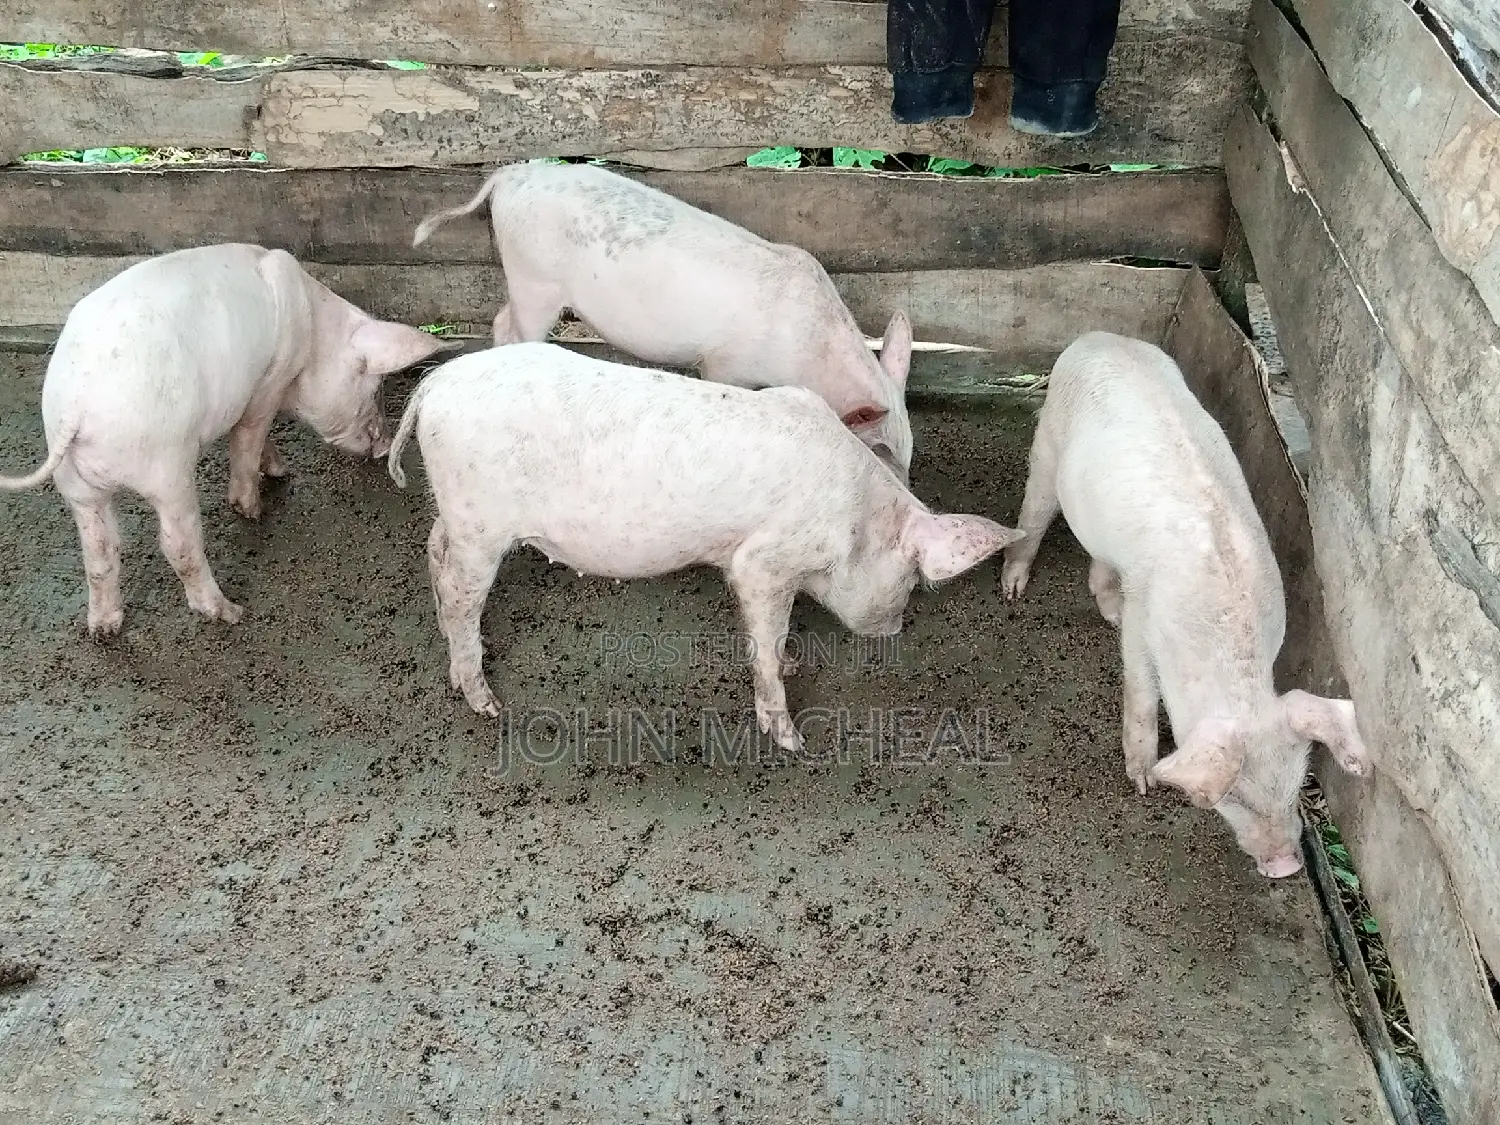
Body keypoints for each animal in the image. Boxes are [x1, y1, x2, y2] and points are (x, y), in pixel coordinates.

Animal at [0, 244, 446, 635]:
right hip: (166, 468)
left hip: (76, 483)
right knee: (177, 543)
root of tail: (76, 406)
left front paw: (278, 471)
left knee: (99, 550)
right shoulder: (270, 378)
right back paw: (230, 612)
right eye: (374, 390)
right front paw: (259, 503)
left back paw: (103, 630)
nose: (385, 447)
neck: (315, 337)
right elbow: (250, 435)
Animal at [387, 342, 1019, 750]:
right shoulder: (764, 560)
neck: (857, 519)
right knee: (459, 590)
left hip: (458, 512)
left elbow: (772, 635)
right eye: (912, 580)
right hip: (481, 522)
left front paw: (793, 659)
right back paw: (486, 702)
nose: (895, 629)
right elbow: (766, 634)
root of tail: (433, 385)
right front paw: (792, 741)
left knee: (433, 549)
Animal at [410, 161, 917, 482]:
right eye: (879, 449)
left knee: (500, 321)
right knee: (516, 332)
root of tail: (511, 174)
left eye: (908, 450)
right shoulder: (725, 364)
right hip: (534, 280)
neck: (809, 353)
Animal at [999, 331, 1372, 878]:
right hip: (1047, 445)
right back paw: (1013, 588)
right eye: (1233, 797)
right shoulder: (1143, 619)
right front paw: (1143, 782)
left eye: (1296, 786)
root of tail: (1097, 337)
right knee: (1034, 511)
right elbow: (1139, 691)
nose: (1285, 866)